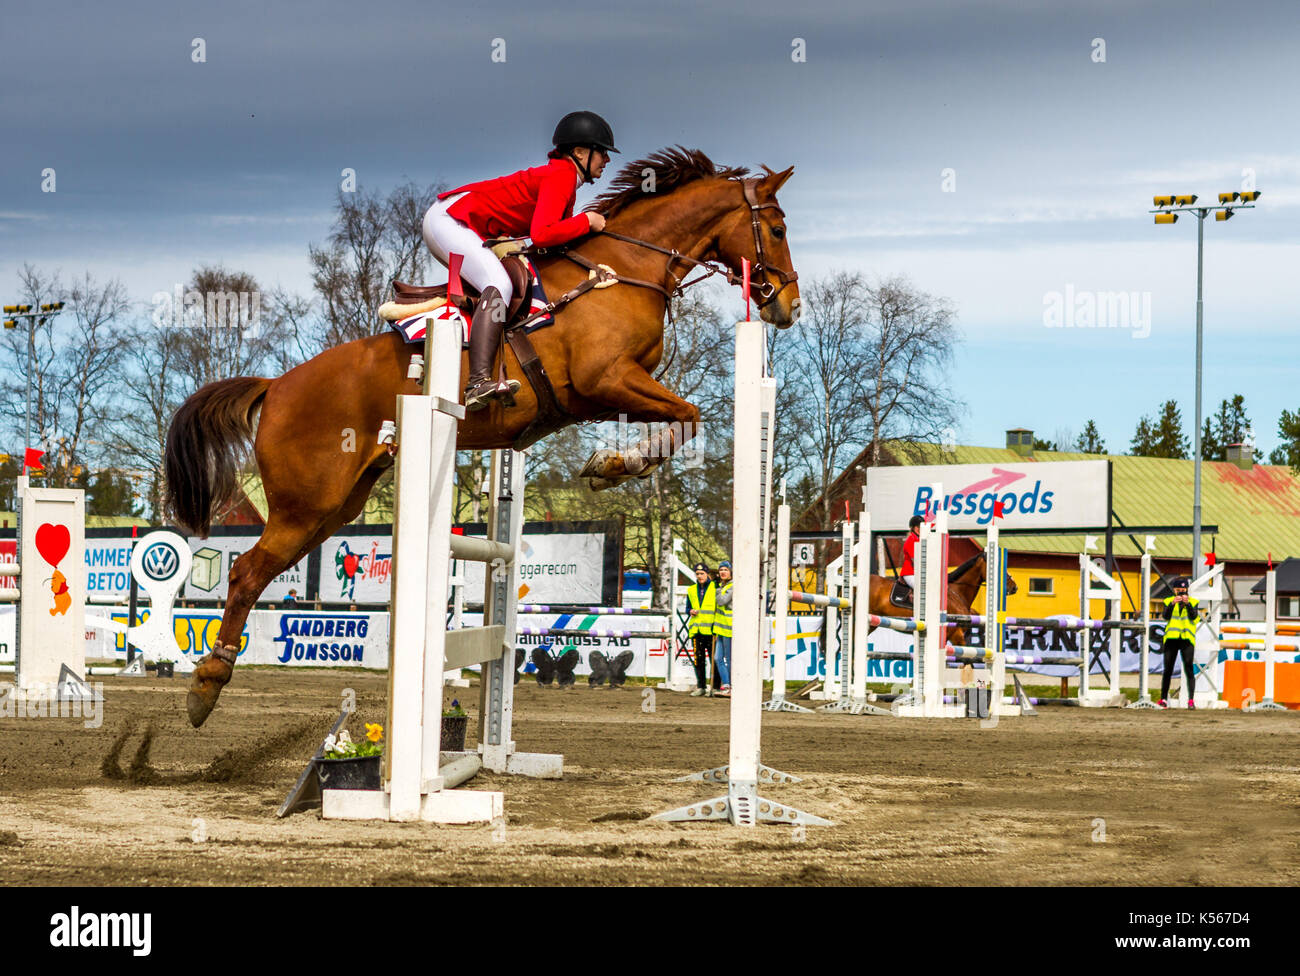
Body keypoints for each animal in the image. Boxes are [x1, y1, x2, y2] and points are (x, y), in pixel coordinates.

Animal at [166, 148, 800, 727]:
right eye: (776, 228)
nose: (789, 306)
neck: (621, 267)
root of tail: (276, 385)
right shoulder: (607, 379)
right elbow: (688, 415)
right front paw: (614, 465)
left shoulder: (610, 392)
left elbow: (683, 417)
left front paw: (613, 462)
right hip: (306, 502)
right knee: (247, 572)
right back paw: (205, 685)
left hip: (335, 506)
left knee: (264, 567)